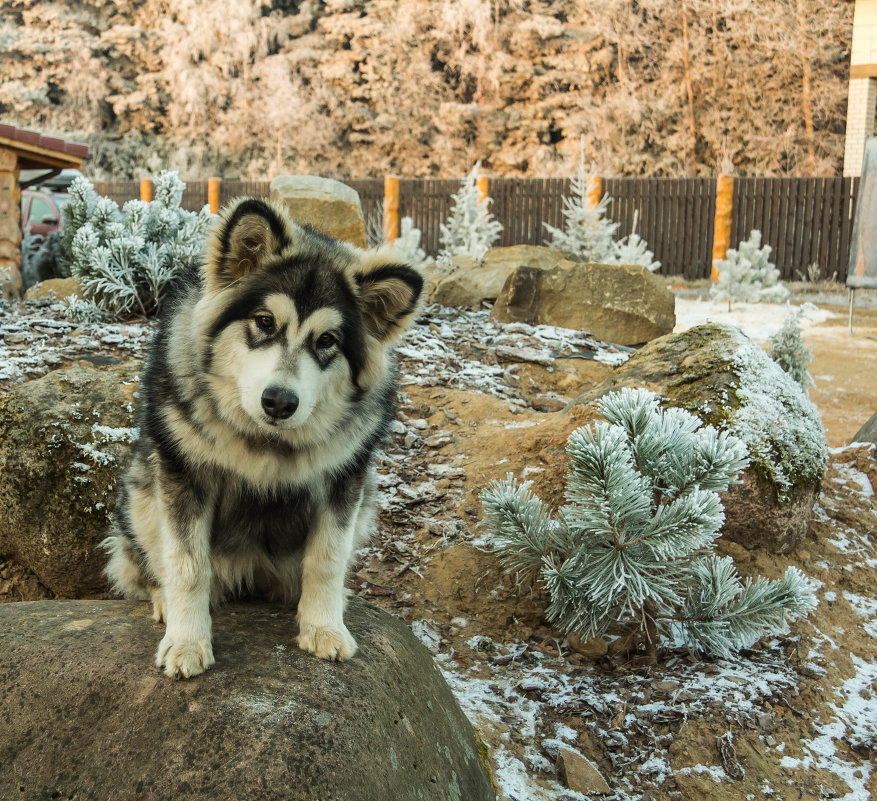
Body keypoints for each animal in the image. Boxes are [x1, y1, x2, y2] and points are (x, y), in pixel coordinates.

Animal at [102, 195, 424, 676]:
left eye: (327, 340)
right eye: (265, 321)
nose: (279, 401)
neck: (265, 441)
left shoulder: (345, 481)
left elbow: (327, 559)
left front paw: (324, 626)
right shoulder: (183, 475)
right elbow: (187, 564)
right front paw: (187, 640)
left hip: (366, 498)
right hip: (142, 489)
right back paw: (163, 599)